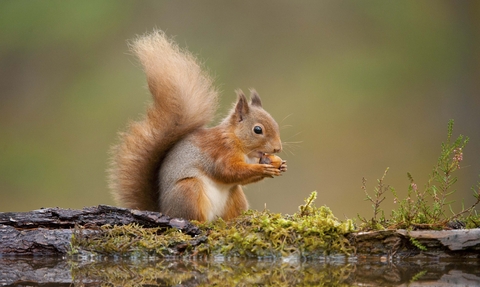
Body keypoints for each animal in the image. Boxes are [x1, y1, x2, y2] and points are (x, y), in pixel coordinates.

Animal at [109, 30, 286, 222]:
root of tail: (165, 210)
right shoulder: (219, 152)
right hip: (189, 190)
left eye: (275, 124)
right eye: (257, 130)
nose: (277, 148)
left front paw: (280, 165)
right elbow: (227, 171)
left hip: (235, 195)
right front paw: (262, 168)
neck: (237, 142)